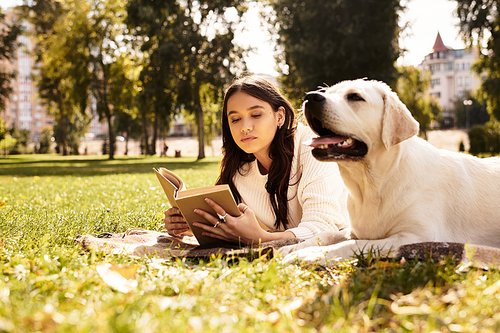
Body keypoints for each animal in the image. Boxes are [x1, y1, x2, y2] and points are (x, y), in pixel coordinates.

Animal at [280, 78, 500, 264]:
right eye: (326, 91)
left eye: (355, 97)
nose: (310, 97)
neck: (374, 186)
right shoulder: (355, 228)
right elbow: (327, 234)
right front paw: (293, 247)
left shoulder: (415, 237)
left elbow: (353, 244)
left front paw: (310, 254)